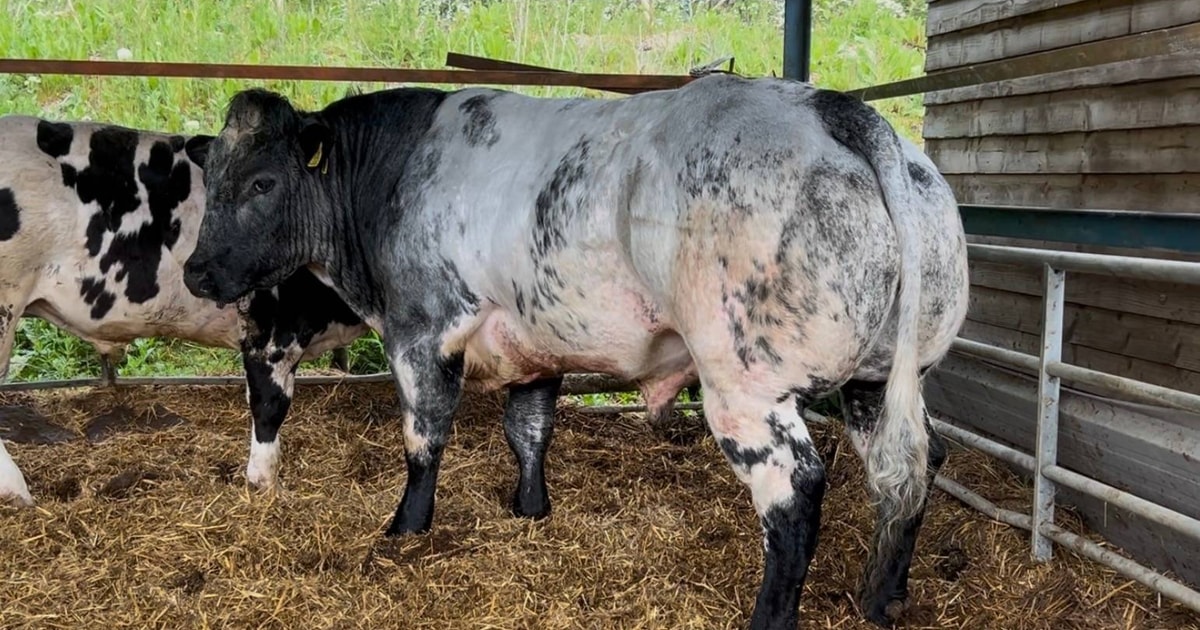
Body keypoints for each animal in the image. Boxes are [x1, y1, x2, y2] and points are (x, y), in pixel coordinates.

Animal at [181, 73, 970, 628]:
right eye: (210, 179)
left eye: (262, 181)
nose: (195, 272)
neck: (391, 177)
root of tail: (835, 109)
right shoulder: (535, 344)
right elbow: (528, 430)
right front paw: (531, 510)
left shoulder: (421, 328)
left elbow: (424, 438)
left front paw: (406, 528)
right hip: (877, 379)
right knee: (916, 463)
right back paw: (884, 596)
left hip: (745, 387)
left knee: (796, 491)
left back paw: (771, 618)